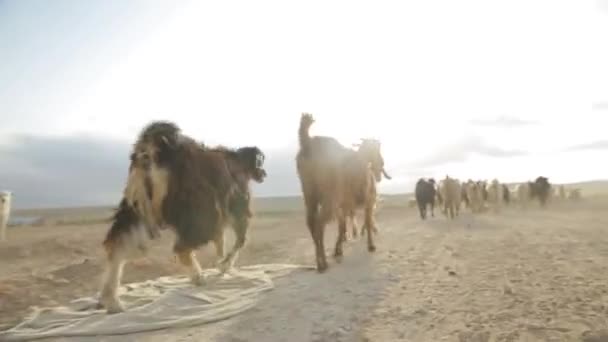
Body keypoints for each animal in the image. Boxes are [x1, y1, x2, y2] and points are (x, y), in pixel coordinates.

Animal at [98, 120, 264, 312]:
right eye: (260, 162)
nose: (263, 174)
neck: (238, 163)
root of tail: (151, 151)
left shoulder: (221, 216)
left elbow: (220, 241)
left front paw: (221, 265)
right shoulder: (236, 208)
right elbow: (239, 240)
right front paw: (224, 266)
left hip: (137, 205)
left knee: (117, 245)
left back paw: (112, 301)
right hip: (198, 210)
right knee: (181, 248)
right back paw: (198, 277)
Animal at [296, 113, 392, 272]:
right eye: (376, 149)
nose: (381, 164)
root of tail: (307, 142)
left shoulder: (344, 206)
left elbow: (342, 227)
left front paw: (338, 250)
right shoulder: (367, 200)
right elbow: (366, 220)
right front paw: (371, 246)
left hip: (309, 193)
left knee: (310, 222)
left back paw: (319, 261)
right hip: (329, 195)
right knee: (319, 223)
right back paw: (323, 263)